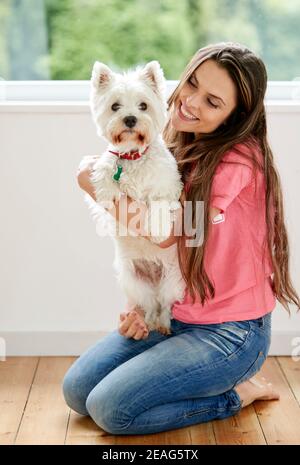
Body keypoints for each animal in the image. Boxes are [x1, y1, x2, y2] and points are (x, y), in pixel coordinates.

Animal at [84, 59, 185, 334]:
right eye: (114, 106)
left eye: (143, 105)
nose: (130, 119)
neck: (133, 155)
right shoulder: (110, 161)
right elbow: (104, 167)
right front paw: (107, 191)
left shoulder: (169, 188)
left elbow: (159, 204)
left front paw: (158, 231)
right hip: (133, 281)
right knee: (150, 304)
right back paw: (147, 322)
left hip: (174, 281)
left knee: (166, 305)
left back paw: (163, 325)